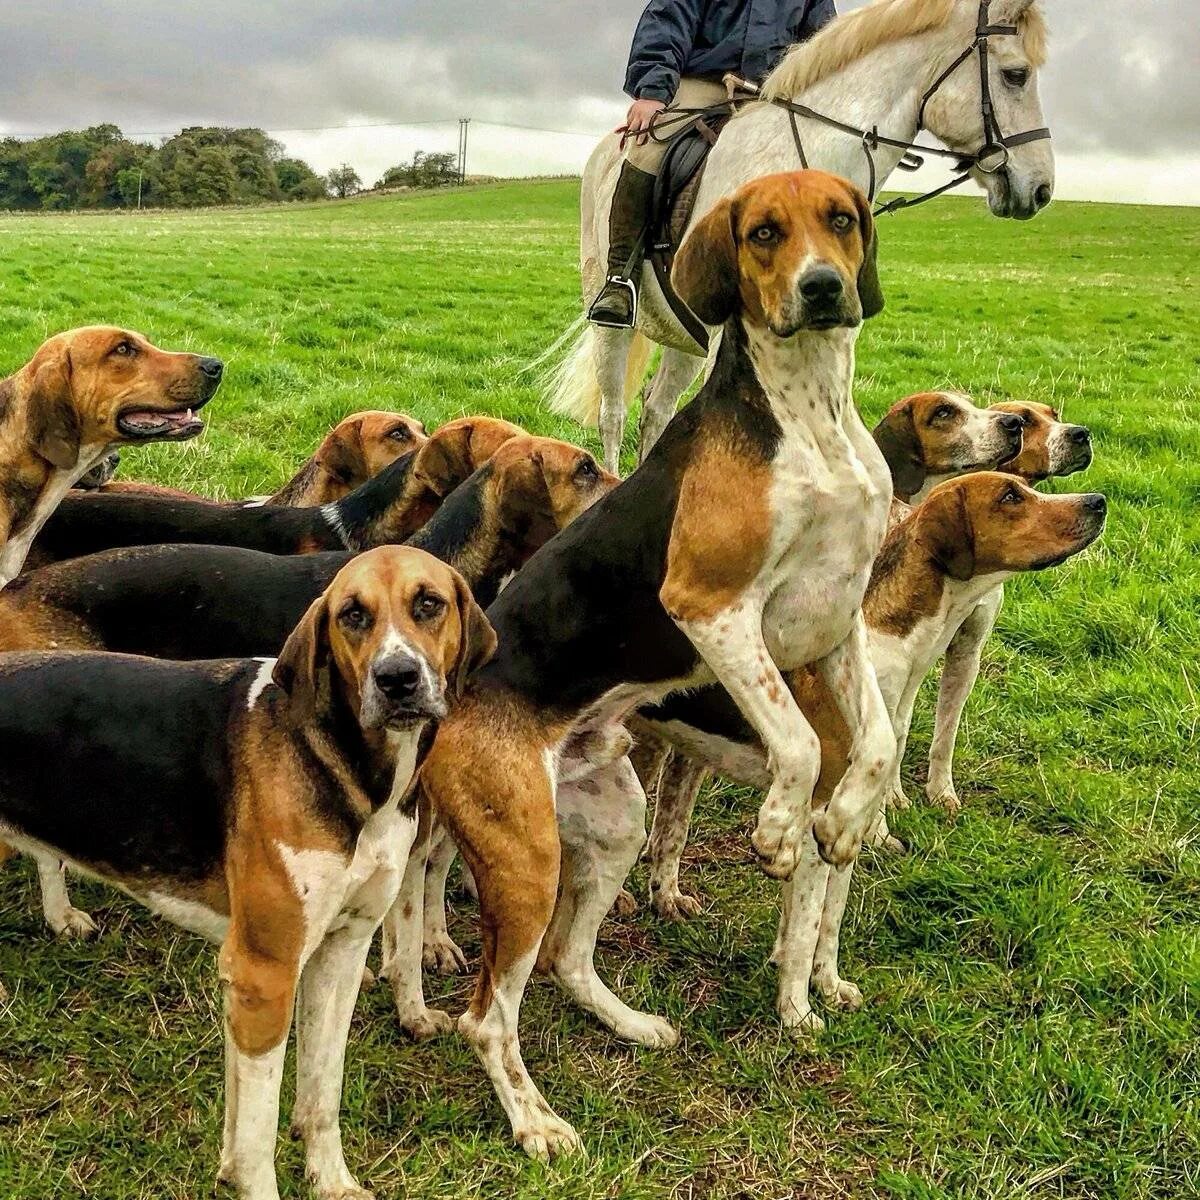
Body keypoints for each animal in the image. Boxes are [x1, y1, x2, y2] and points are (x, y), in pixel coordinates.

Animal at [0, 547, 492, 1200]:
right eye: (352, 615)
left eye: (429, 603)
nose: (397, 679)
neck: (350, 767)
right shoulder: (266, 973)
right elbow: (259, 1135)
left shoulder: (338, 955)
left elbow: (318, 1096)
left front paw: (331, 1181)